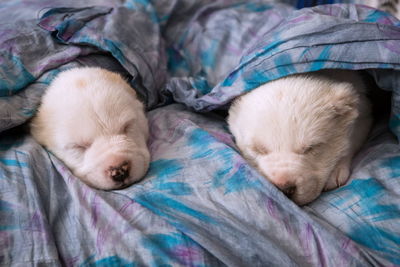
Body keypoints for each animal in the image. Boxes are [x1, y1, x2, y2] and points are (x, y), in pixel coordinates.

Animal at [228, 69, 372, 205]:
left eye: (310, 148)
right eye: (258, 149)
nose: (285, 189)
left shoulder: (364, 115)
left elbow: (351, 142)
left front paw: (336, 171)